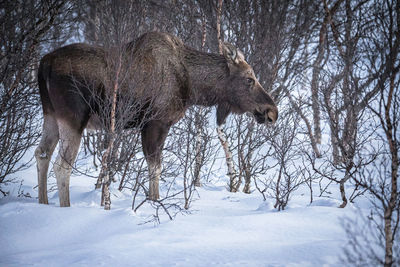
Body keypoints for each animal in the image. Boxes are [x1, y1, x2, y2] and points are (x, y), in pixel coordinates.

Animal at [35, 31, 278, 207]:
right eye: (249, 79)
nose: (272, 111)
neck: (193, 87)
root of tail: (44, 64)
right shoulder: (156, 123)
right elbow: (156, 166)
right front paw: (155, 201)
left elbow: (153, 165)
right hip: (74, 118)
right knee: (62, 166)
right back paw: (65, 208)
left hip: (51, 115)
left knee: (41, 154)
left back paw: (43, 203)